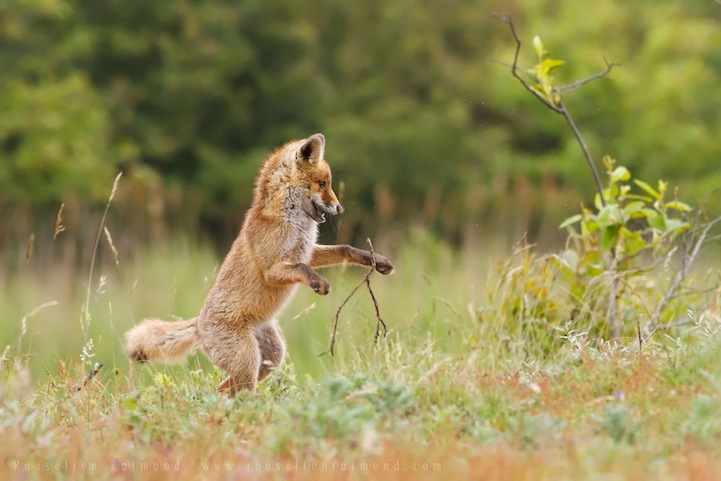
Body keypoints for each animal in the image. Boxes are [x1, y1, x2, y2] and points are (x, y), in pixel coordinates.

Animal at [124, 132, 394, 394]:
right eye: (322, 184)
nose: (339, 207)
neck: (292, 223)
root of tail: (199, 324)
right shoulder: (272, 269)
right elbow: (301, 269)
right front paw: (318, 282)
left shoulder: (307, 251)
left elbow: (345, 249)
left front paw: (377, 261)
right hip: (247, 361)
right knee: (234, 391)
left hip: (270, 357)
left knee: (223, 388)